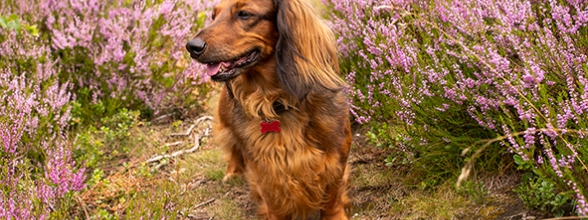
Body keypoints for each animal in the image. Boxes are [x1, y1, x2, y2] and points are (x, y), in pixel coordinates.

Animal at [187, 0, 350, 218]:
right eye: (214, 16)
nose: (191, 46)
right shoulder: (266, 172)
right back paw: (232, 172)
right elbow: (274, 203)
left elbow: (333, 196)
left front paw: (335, 215)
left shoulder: (336, 157)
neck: (275, 102)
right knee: (232, 147)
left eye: (244, 14)